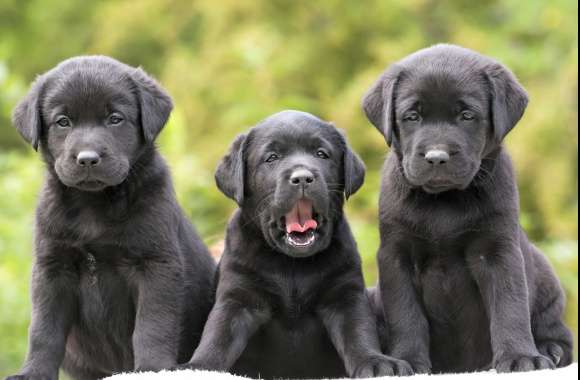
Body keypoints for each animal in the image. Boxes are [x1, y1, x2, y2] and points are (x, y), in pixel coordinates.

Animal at [7, 56, 215, 380]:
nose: (88, 159)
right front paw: (33, 372)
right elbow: (43, 329)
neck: (94, 204)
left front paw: (152, 368)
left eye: (115, 119)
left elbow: (152, 325)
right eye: (63, 121)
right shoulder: (52, 268)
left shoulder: (156, 265)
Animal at [181, 109, 412, 378]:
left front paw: (375, 361)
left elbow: (359, 332)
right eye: (272, 158)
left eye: (321, 154)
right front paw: (197, 365)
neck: (291, 264)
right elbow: (218, 334)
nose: (302, 177)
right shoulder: (238, 296)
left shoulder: (345, 295)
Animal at [362, 45, 572, 374]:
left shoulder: (498, 250)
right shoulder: (396, 256)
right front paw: (408, 359)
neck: (444, 201)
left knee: (559, 332)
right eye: (412, 116)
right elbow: (405, 315)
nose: (436, 157)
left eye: (466, 115)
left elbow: (509, 308)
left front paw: (520, 357)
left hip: (546, 279)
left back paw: (551, 350)